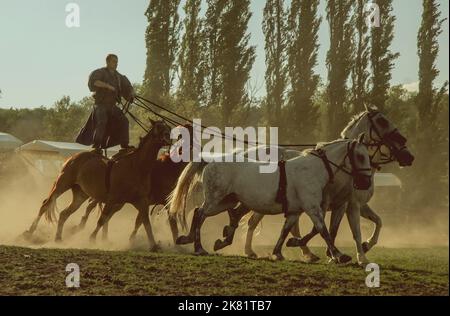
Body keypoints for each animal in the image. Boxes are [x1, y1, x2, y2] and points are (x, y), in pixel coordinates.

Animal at [23, 119, 173, 251]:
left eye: (168, 127)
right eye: (159, 127)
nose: (169, 137)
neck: (135, 166)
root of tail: (73, 157)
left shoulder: (141, 201)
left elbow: (146, 222)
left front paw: (153, 245)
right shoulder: (112, 200)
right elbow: (102, 219)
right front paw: (92, 239)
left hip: (80, 195)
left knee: (64, 213)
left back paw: (58, 238)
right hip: (62, 184)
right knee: (46, 204)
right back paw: (29, 233)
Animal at [169, 137, 372, 262]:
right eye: (360, 156)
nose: (366, 182)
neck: (314, 170)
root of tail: (211, 161)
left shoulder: (295, 211)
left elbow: (285, 231)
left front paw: (278, 252)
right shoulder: (313, 208)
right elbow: (323, 230)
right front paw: (339, 255)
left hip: (227, 201)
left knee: (205, 213)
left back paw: (198, 240)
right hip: (214, 200)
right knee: (200, 214)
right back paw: (199, 247)